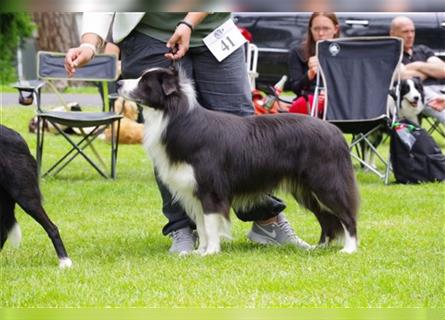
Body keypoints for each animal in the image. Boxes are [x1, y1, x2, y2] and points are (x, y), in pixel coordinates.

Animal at [116, 67, 360, 255]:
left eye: (144, 81)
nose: (117, 83)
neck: (174, 116)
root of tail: (335, 131)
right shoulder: (194, 191)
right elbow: (202, 225)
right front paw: (198, 251)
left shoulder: (210, 188)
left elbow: (211, 223)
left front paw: (211, 252)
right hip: (308, 190)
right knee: (327, 218)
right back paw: (320, 247)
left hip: (326, 182)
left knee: (347, 214)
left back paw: (349, 249)